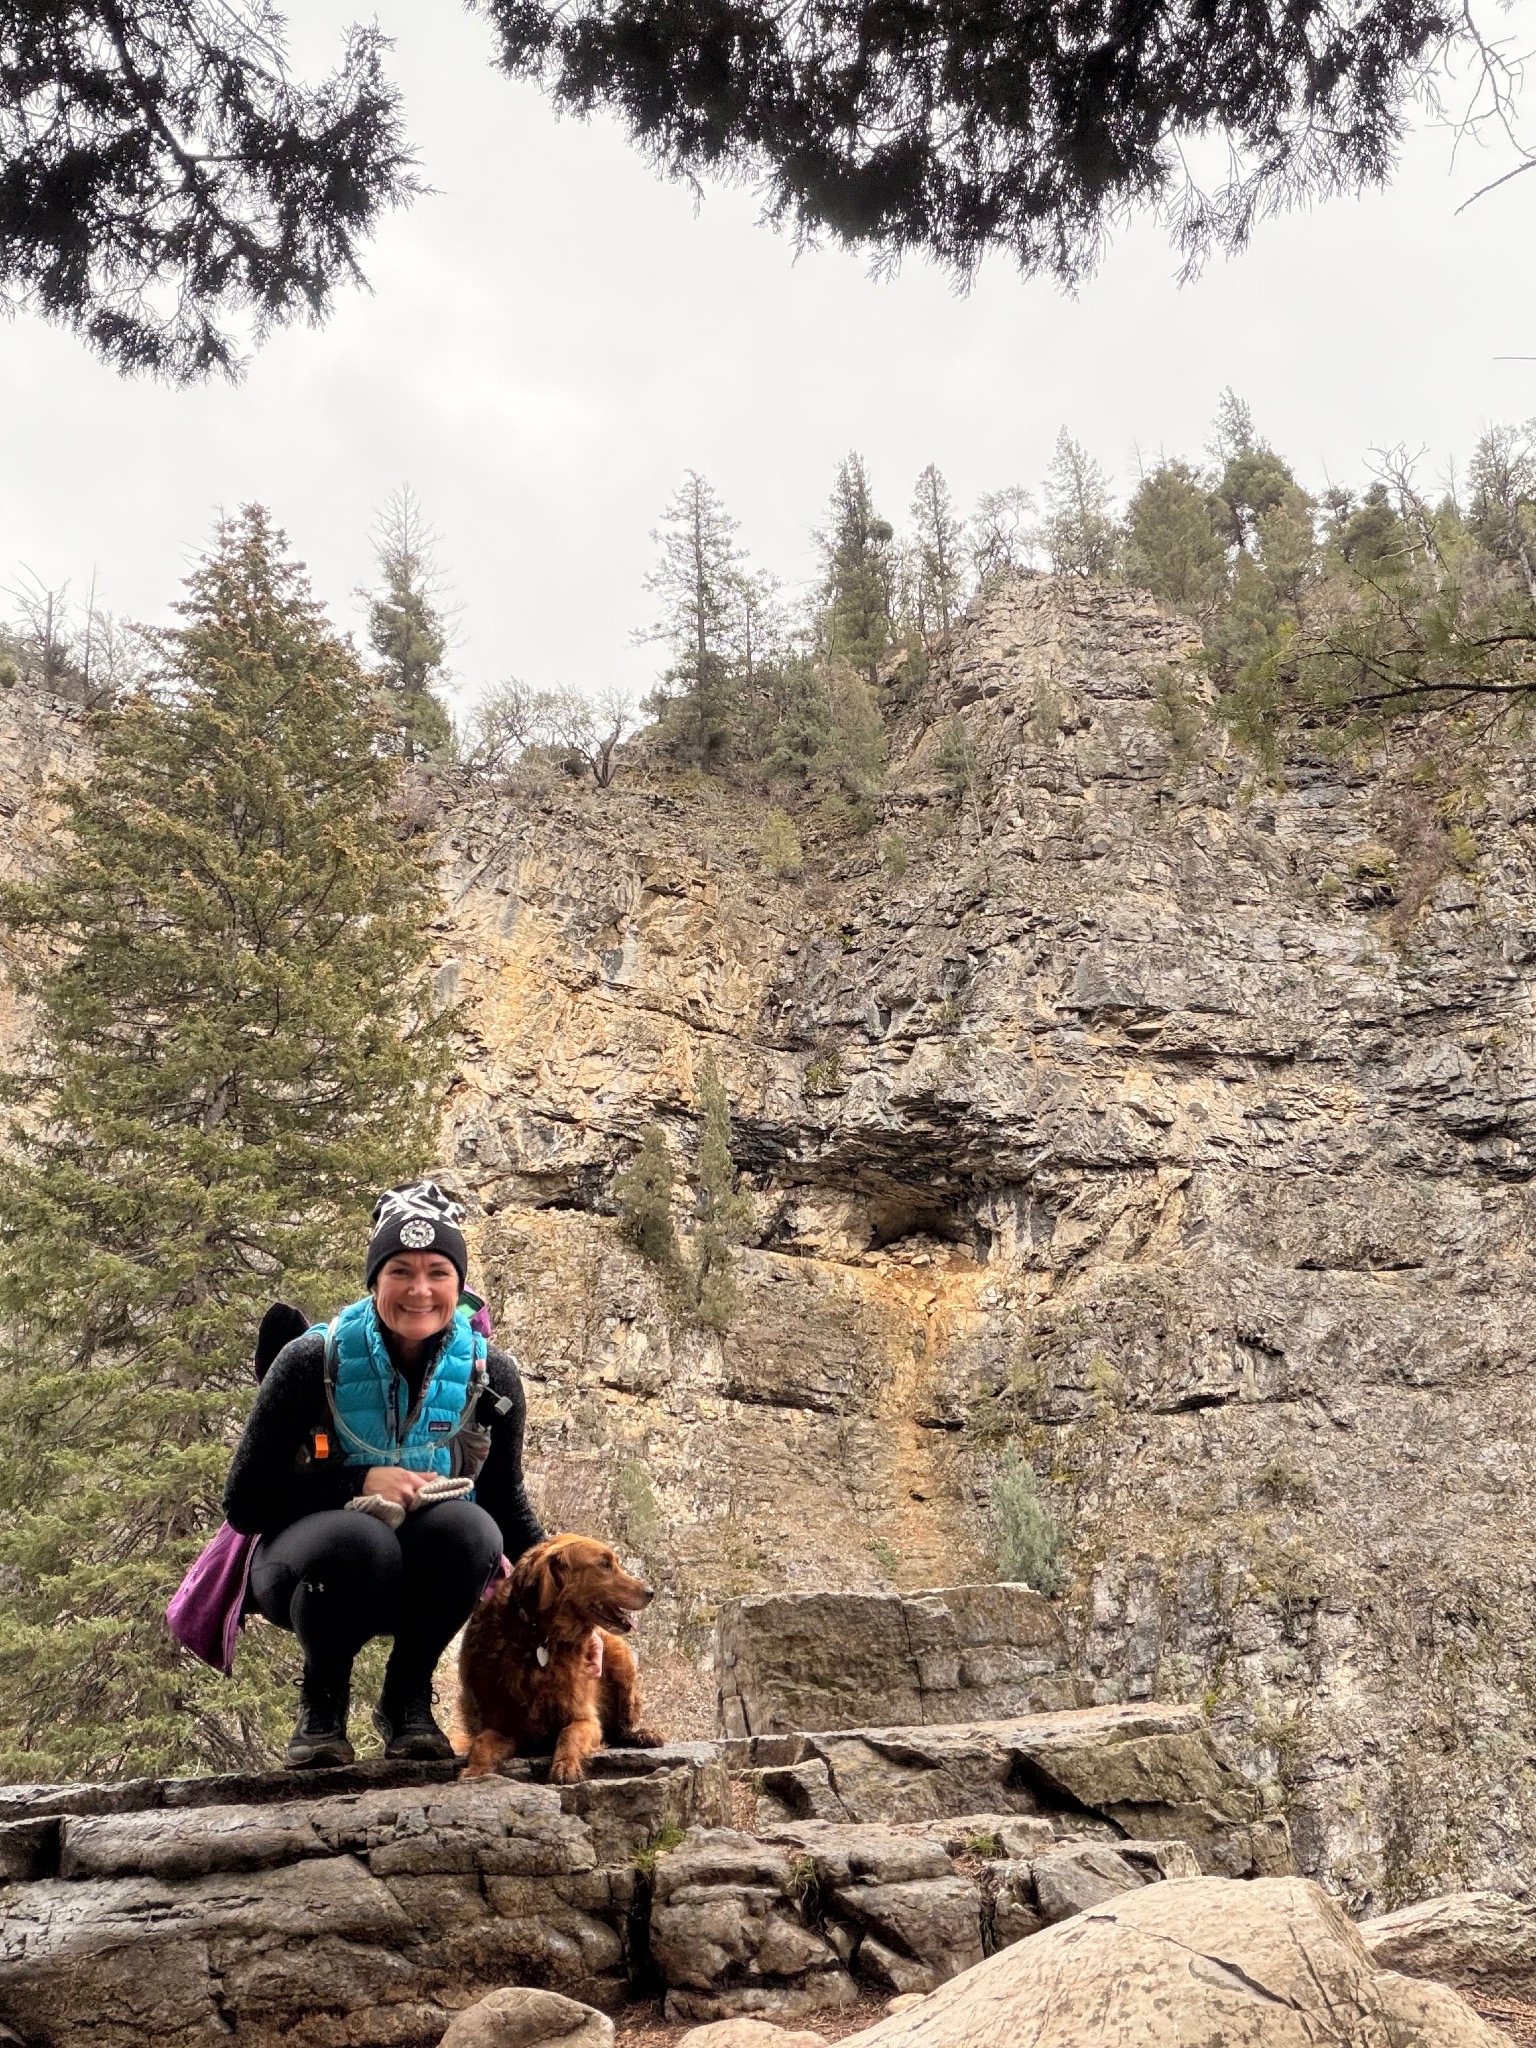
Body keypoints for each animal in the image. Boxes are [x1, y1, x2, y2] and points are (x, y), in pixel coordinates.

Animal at [458, 1533, 663, 1782]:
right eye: (604, 1565)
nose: (651, 1591)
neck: (543, 1637)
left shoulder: (586, 1719)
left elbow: (570, 1733)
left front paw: (565, 1765)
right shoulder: (506, 1725)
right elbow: (480, 1743)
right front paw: (475, 1770)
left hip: (621, 1660)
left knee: (620, 1729)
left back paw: (645, 1734)